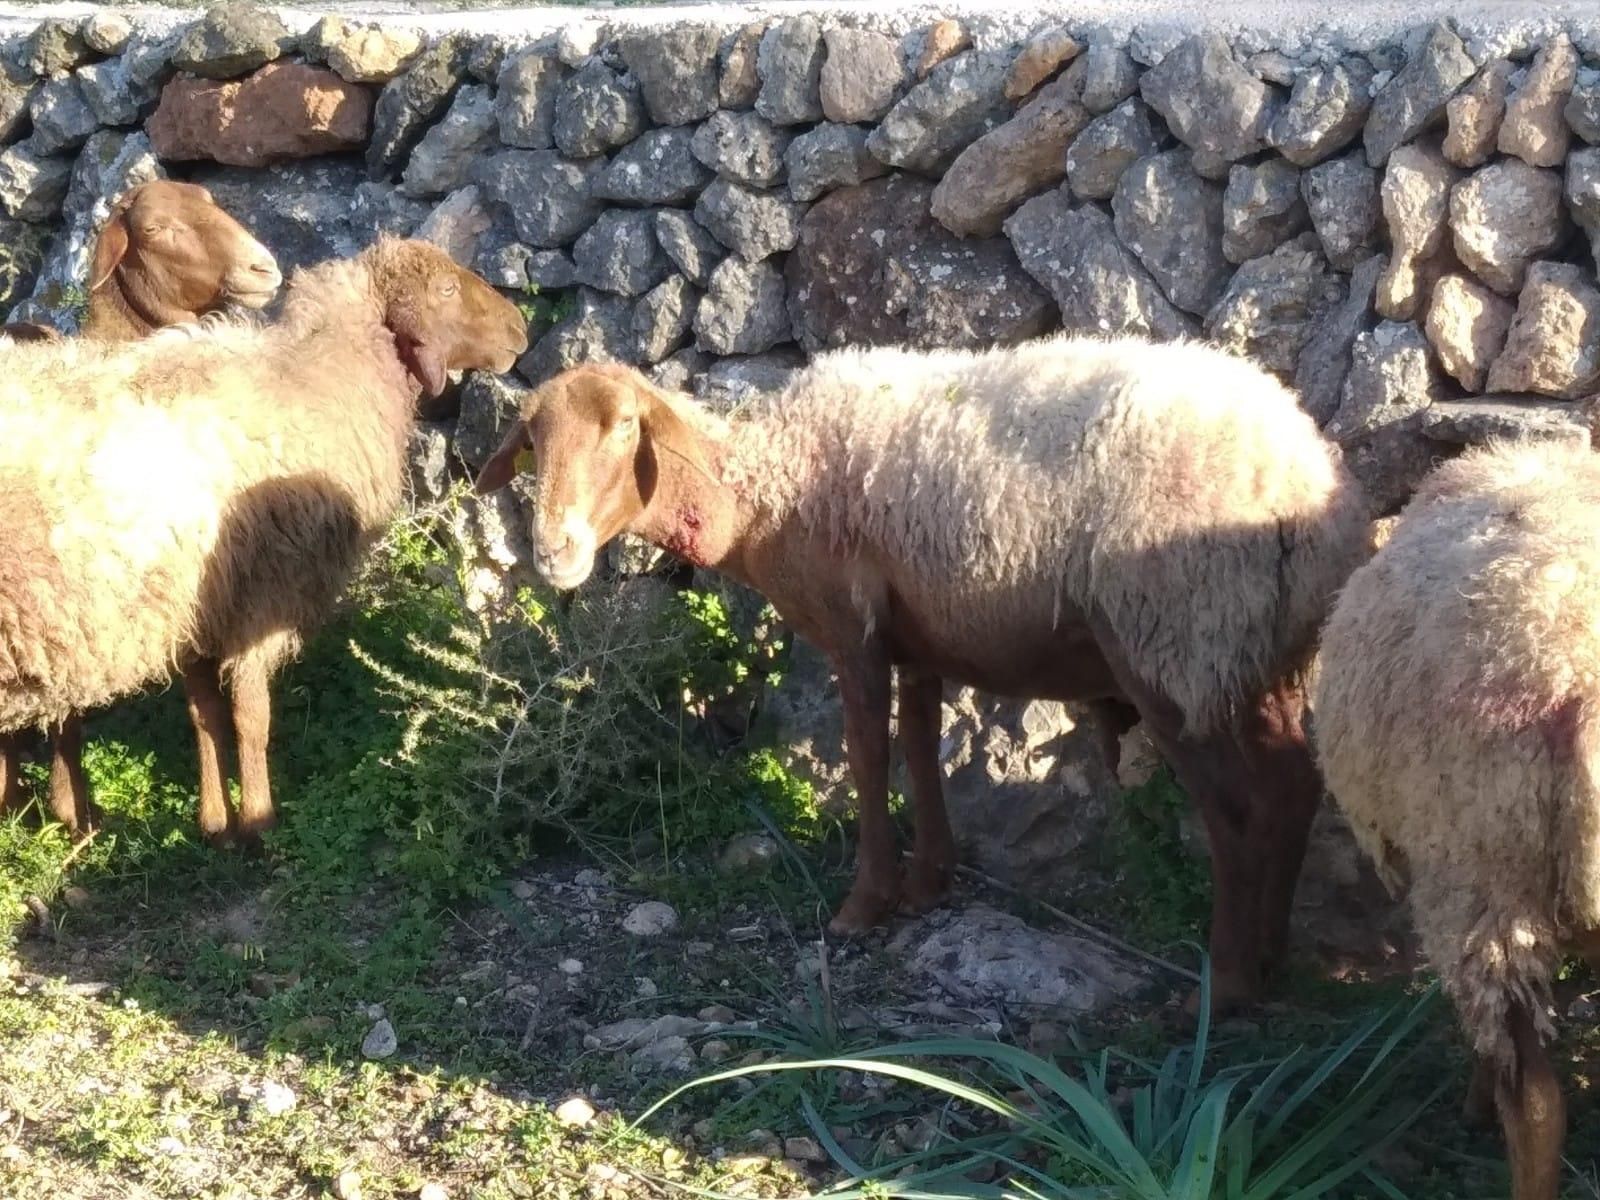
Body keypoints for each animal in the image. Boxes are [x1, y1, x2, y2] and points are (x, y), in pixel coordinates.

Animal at [473, 340, 1376, 1017]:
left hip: (1179, 644)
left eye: (626, 428)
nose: (553, 552)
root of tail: (1309, 482)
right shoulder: (919, 638)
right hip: (1260, 656)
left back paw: (1226, 987)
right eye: (531, 440)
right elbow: (918, 745)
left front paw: (864, 903)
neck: (764, 486)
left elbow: (870, 755)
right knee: (1294, 785)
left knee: (1234, 814)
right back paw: (1272, 955)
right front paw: (928, 882)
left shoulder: (853, 627)